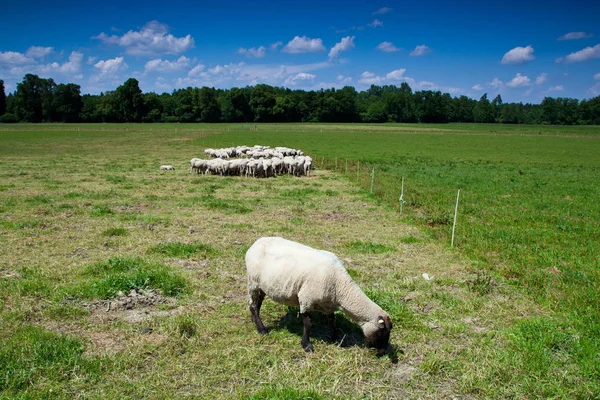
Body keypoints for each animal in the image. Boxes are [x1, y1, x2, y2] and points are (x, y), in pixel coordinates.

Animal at [245, 238, 394, 354]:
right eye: (382, 332)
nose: (383, 352)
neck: (340, 286)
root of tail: (257, 242)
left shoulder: (328, 304)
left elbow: (332, 320)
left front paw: (335, 337)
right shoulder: (306, 299)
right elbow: (308, 323)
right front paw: (306, 345)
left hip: (262, 284)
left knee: (258, 302)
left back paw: (255, 320)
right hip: (252, 281)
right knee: (252, 305)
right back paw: (262, 329)